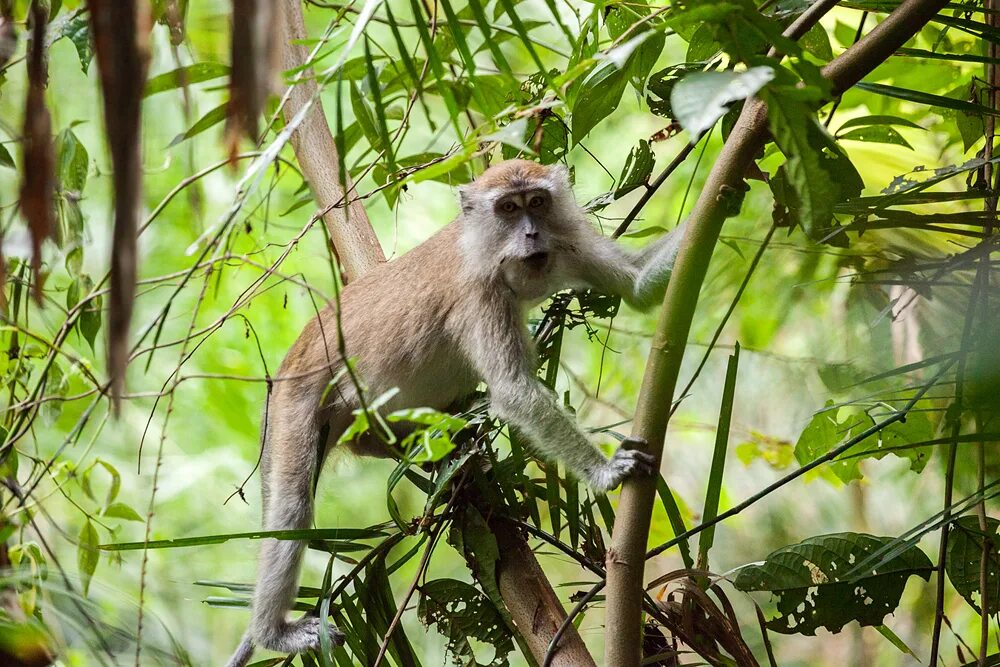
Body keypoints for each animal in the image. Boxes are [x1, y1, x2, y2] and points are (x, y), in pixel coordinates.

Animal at [225, 159, 688, 664]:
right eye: (508, 209)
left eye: (537, 202)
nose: (532, 234)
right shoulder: (479, 295)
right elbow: (514, 392)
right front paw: (605, 471)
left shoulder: (571, 244)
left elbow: (640, 286)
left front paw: (723, 195)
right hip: (295, 404)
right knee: (292, 506)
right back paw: (272, 632)